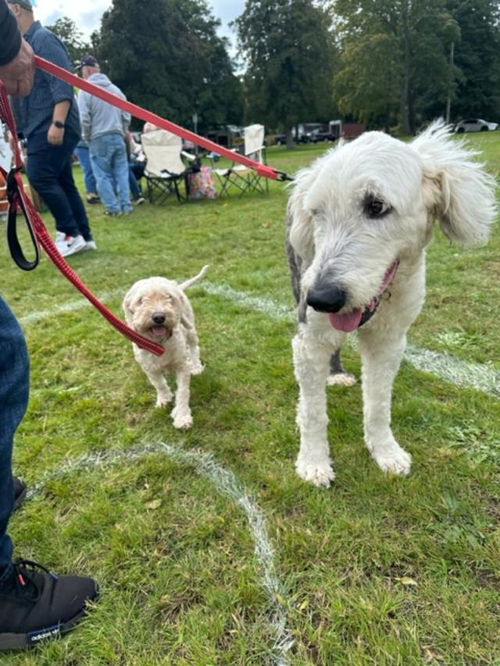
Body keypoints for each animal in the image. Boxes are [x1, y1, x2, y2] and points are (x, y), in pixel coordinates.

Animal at [123, 264, 209, 426]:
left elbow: (183, 392)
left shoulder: (181, 365)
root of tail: (178, 286)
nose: (159, 317)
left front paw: (182, 416)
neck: (159, 343)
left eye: (169, 297)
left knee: (194, 347)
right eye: (141, 300)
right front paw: (164, 398)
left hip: (189, 327)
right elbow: (159, 384)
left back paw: (195, 366)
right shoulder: (149, 367)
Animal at [288, 122, 498, 486]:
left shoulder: (389, 344)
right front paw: (313, 462)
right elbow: (313, 411)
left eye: (376, 205)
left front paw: (385, 452)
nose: (322, 299)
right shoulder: (309, 340)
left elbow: (378, 405)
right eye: (317, 213)